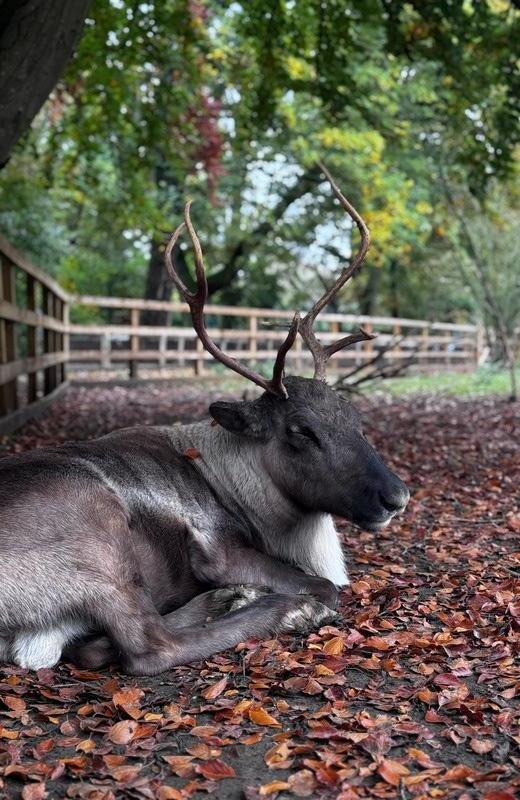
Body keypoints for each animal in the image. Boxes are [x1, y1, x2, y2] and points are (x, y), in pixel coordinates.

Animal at [0, 165, 409, 676]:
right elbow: (325, 584)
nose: (397, 497)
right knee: (146, 648)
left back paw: (234, 597)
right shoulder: (218, 549)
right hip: (100, 539)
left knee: (95, 643)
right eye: (300, 430)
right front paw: (293, 597)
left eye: (355, 417)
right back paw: (281, 608)